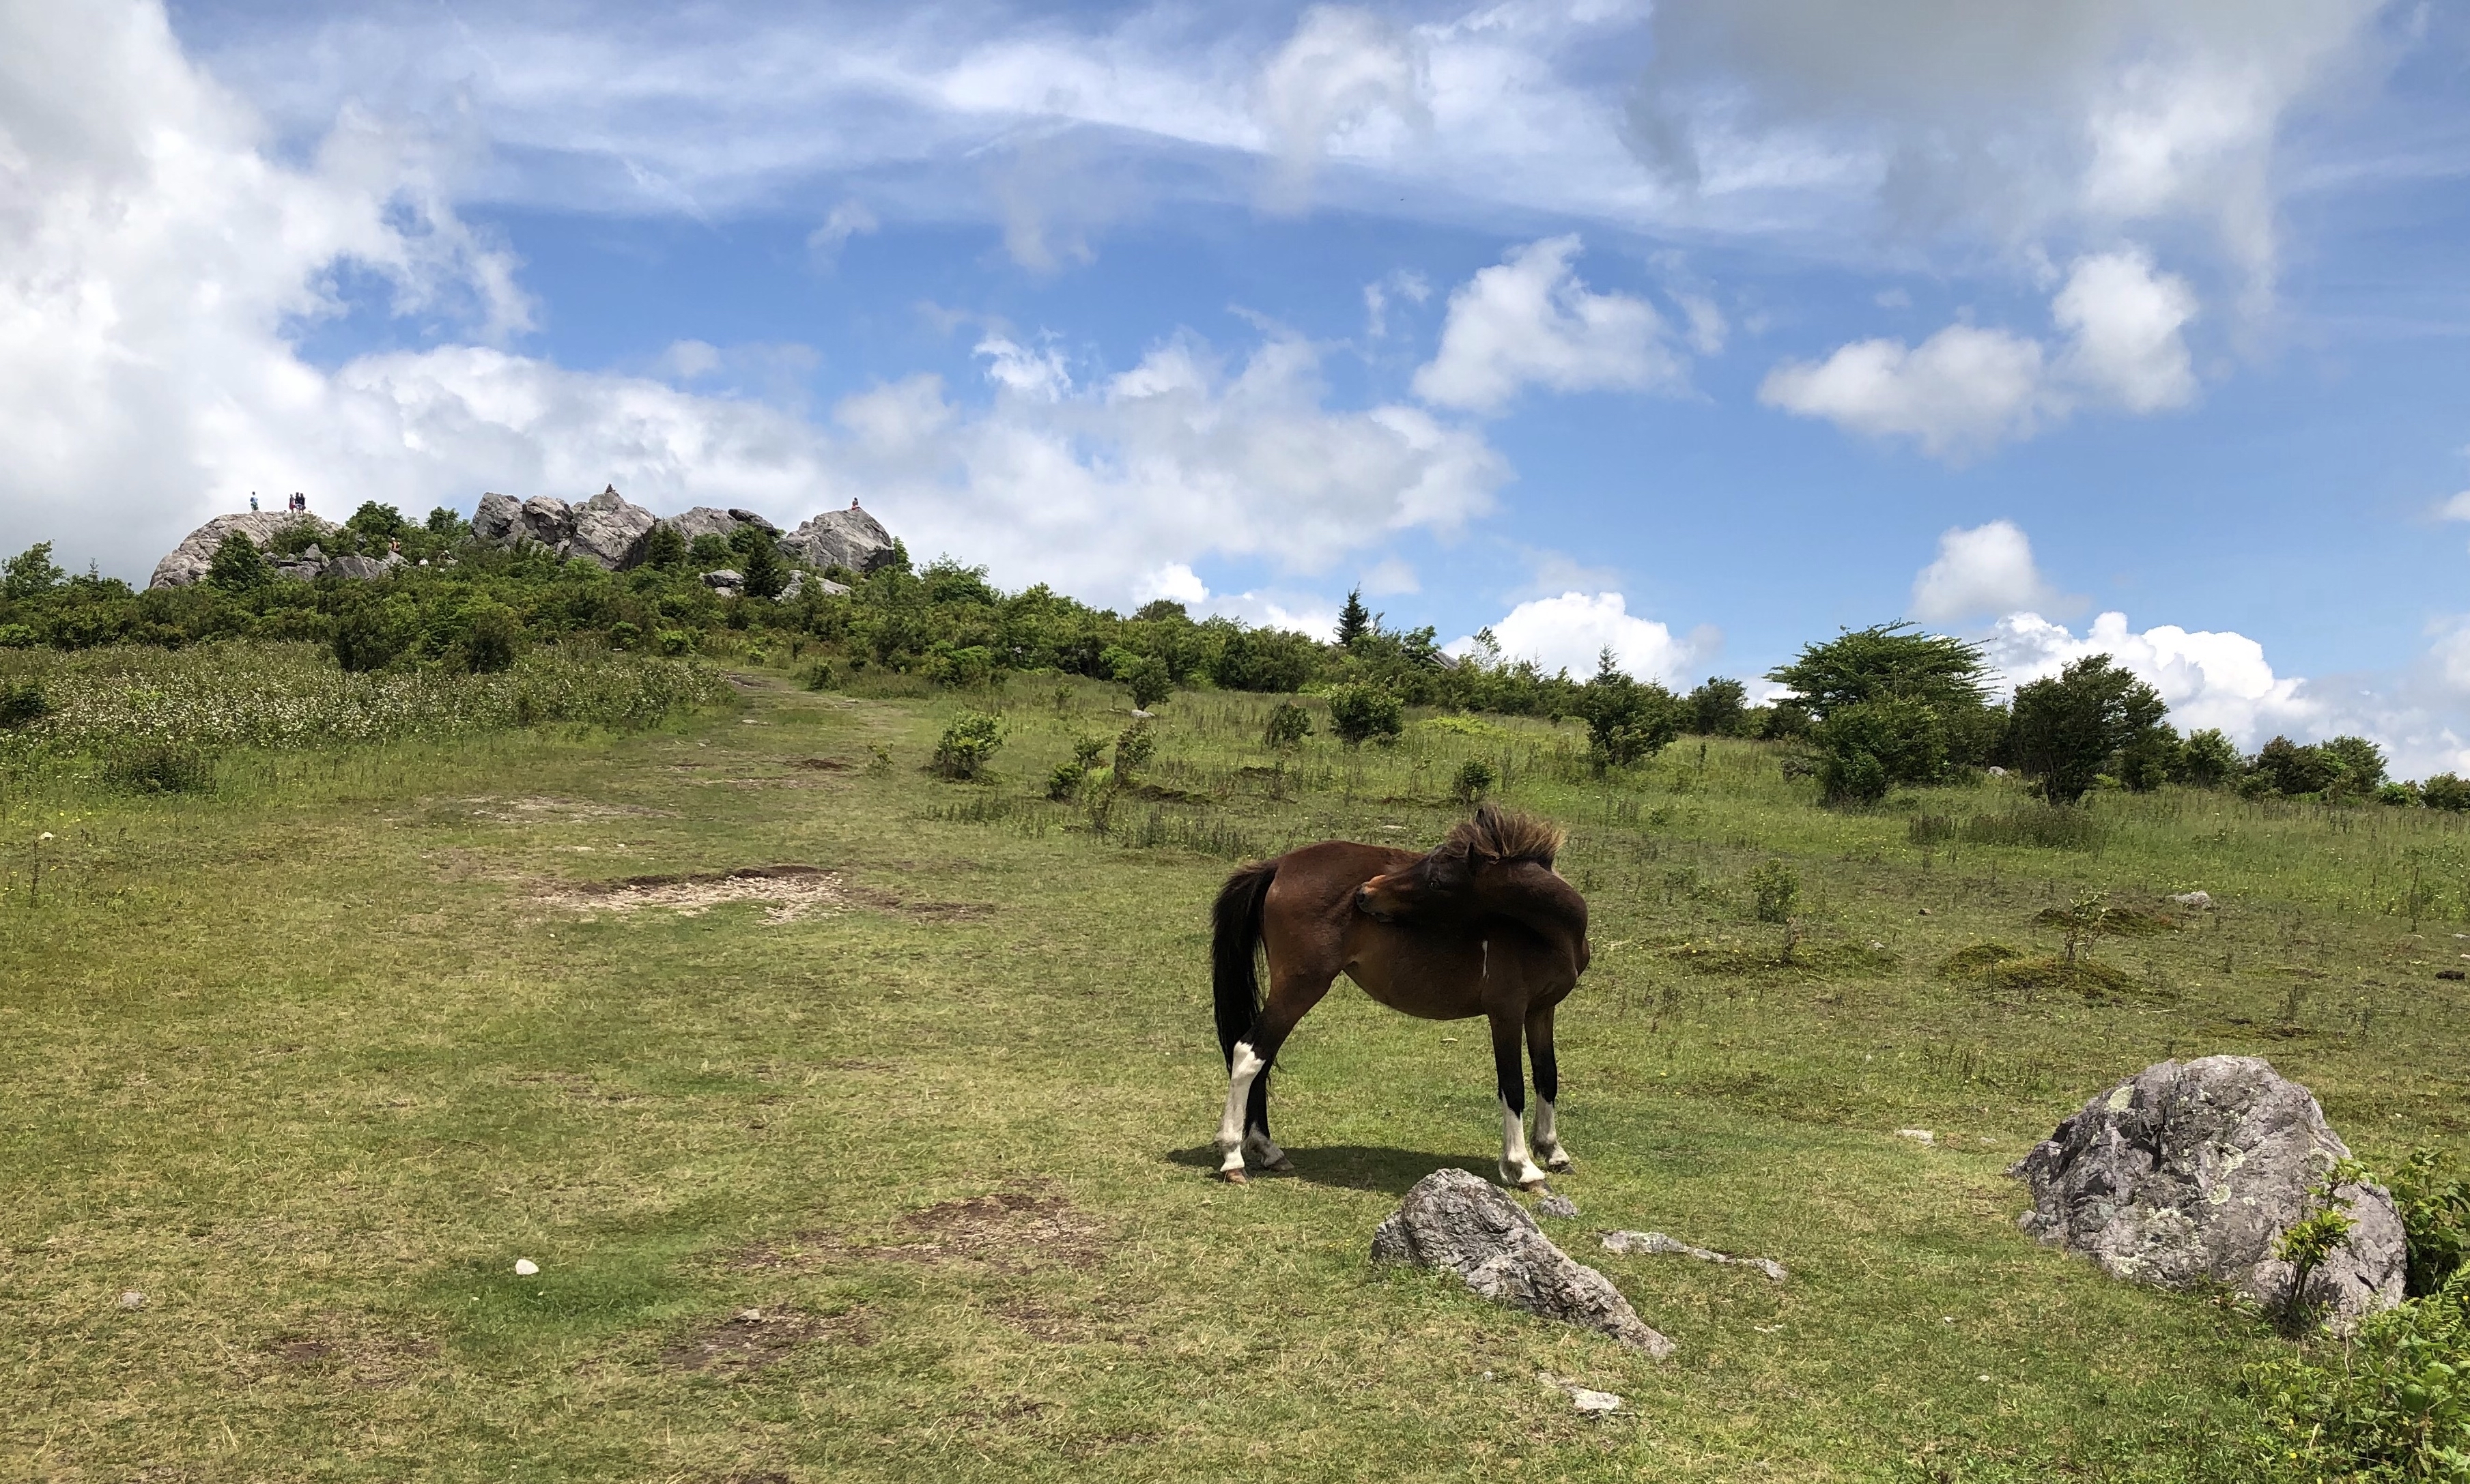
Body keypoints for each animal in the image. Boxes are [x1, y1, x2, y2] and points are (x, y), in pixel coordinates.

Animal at [1208, 803, 1590, 1189]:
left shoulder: (1541, 1010)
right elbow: (1512, 1086)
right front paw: (1524, 1167)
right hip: (1298, 990)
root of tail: (1279, 865)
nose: (1365, 893)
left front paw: (1553, 1151)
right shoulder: (1506, 1013)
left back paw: (1268, 1151)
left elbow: (1547, 1074)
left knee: (1263, 1058)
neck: (1549, 934)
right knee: (1249, 1055)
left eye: (1436, 880)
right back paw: (1233, 1157)